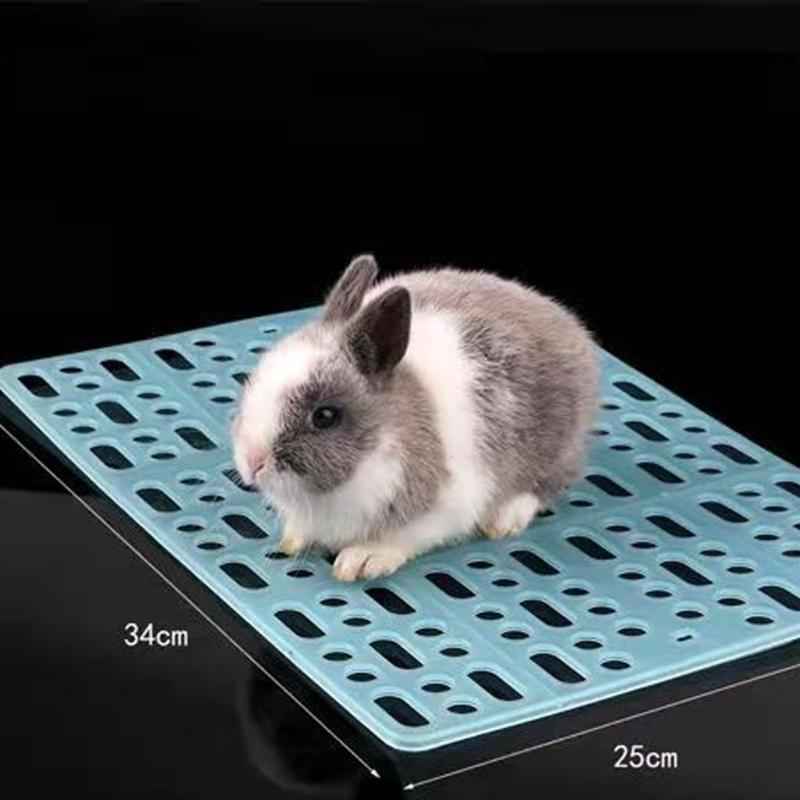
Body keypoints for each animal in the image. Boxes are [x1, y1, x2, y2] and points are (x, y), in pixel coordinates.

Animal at [232, 255, 600, 581]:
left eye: (325, 416)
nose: (252, 462)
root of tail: (568, 325)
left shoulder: (444, 510)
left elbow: (403, 538)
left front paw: (363, 559)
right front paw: (293, 538)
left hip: (557, 447)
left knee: (546, 484)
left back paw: (504, 518)